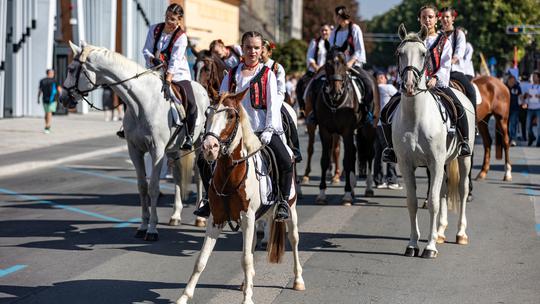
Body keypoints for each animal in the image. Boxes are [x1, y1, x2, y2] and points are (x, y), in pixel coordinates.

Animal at [60, 41, 209, 241]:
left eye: (71, 69)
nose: (62, 98)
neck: (142, 102)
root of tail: (201, 88)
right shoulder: (135, 150)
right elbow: (142, 187)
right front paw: (143, 226)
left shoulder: (157, 151)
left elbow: (153, 188)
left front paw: (152, 229)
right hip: (173, 149)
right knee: (178, 176)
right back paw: (176, 215)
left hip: (198, 144)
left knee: (199, 176)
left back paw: (200, 219)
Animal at [176, 90, 304, 304]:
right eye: (208, 113)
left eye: (230, 115)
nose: (209, 147)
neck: (231, 175)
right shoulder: (217, 219)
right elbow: (201, 260)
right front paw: (184, 296)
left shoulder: (247, 217)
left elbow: (245, 259)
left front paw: (248, 299)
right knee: (252, 246)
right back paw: (246, 283)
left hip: (290, 210)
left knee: (293, 239)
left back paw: (298, 280)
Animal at [394, 26, 474, 258]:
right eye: (399, 53)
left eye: (424, 54)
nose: (409, 85)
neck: (415, 118)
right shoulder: (406, 164)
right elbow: (412, 202)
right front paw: (413, 244)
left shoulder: (435, 163)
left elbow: (433, 202)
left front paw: (429, 248)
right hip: (445, 163)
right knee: (445, 190)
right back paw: (439, 232)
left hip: (464, 158)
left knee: (462, 189)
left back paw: (460, 234)